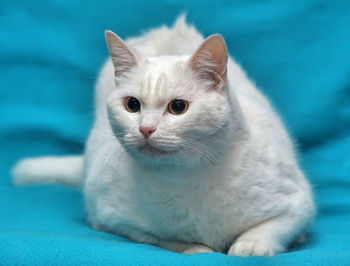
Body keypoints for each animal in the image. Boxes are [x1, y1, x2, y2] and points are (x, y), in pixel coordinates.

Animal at [13, 15, 314, 256]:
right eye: (132, 105)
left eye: (178, 107)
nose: (145, 128)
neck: (187, 178)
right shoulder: (112, 217)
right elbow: (164, 239)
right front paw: (197, 249)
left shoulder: (298, 203)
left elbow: (270, 229)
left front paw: (249, 246)